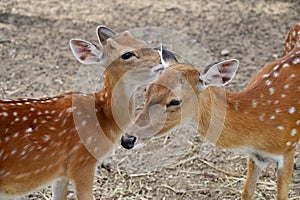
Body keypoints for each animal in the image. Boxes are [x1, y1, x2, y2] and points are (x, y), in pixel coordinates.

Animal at [0, 26, 176, 200]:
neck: (103, 117)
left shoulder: (61, 173)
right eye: (127, 54)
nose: (165, 55)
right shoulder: (82, 164)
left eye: (142, 42)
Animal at [122, 21, 300, 199]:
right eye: (147, 89)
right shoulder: (256, 156)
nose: (127, 139)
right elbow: (246, 192)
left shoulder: (287, 148)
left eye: (175, 101)